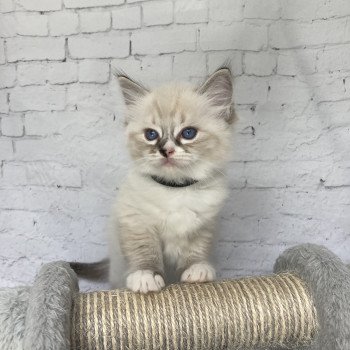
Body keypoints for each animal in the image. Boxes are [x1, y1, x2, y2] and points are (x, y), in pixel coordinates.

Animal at [71, 68, 235, 292]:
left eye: (188, 133)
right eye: (151, 135)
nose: (166, 151)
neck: (175, 189)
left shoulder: (204, 226)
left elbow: (195, 251)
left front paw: (196, 271)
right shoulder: (137, 222)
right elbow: (145, 253)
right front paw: (146, 276)